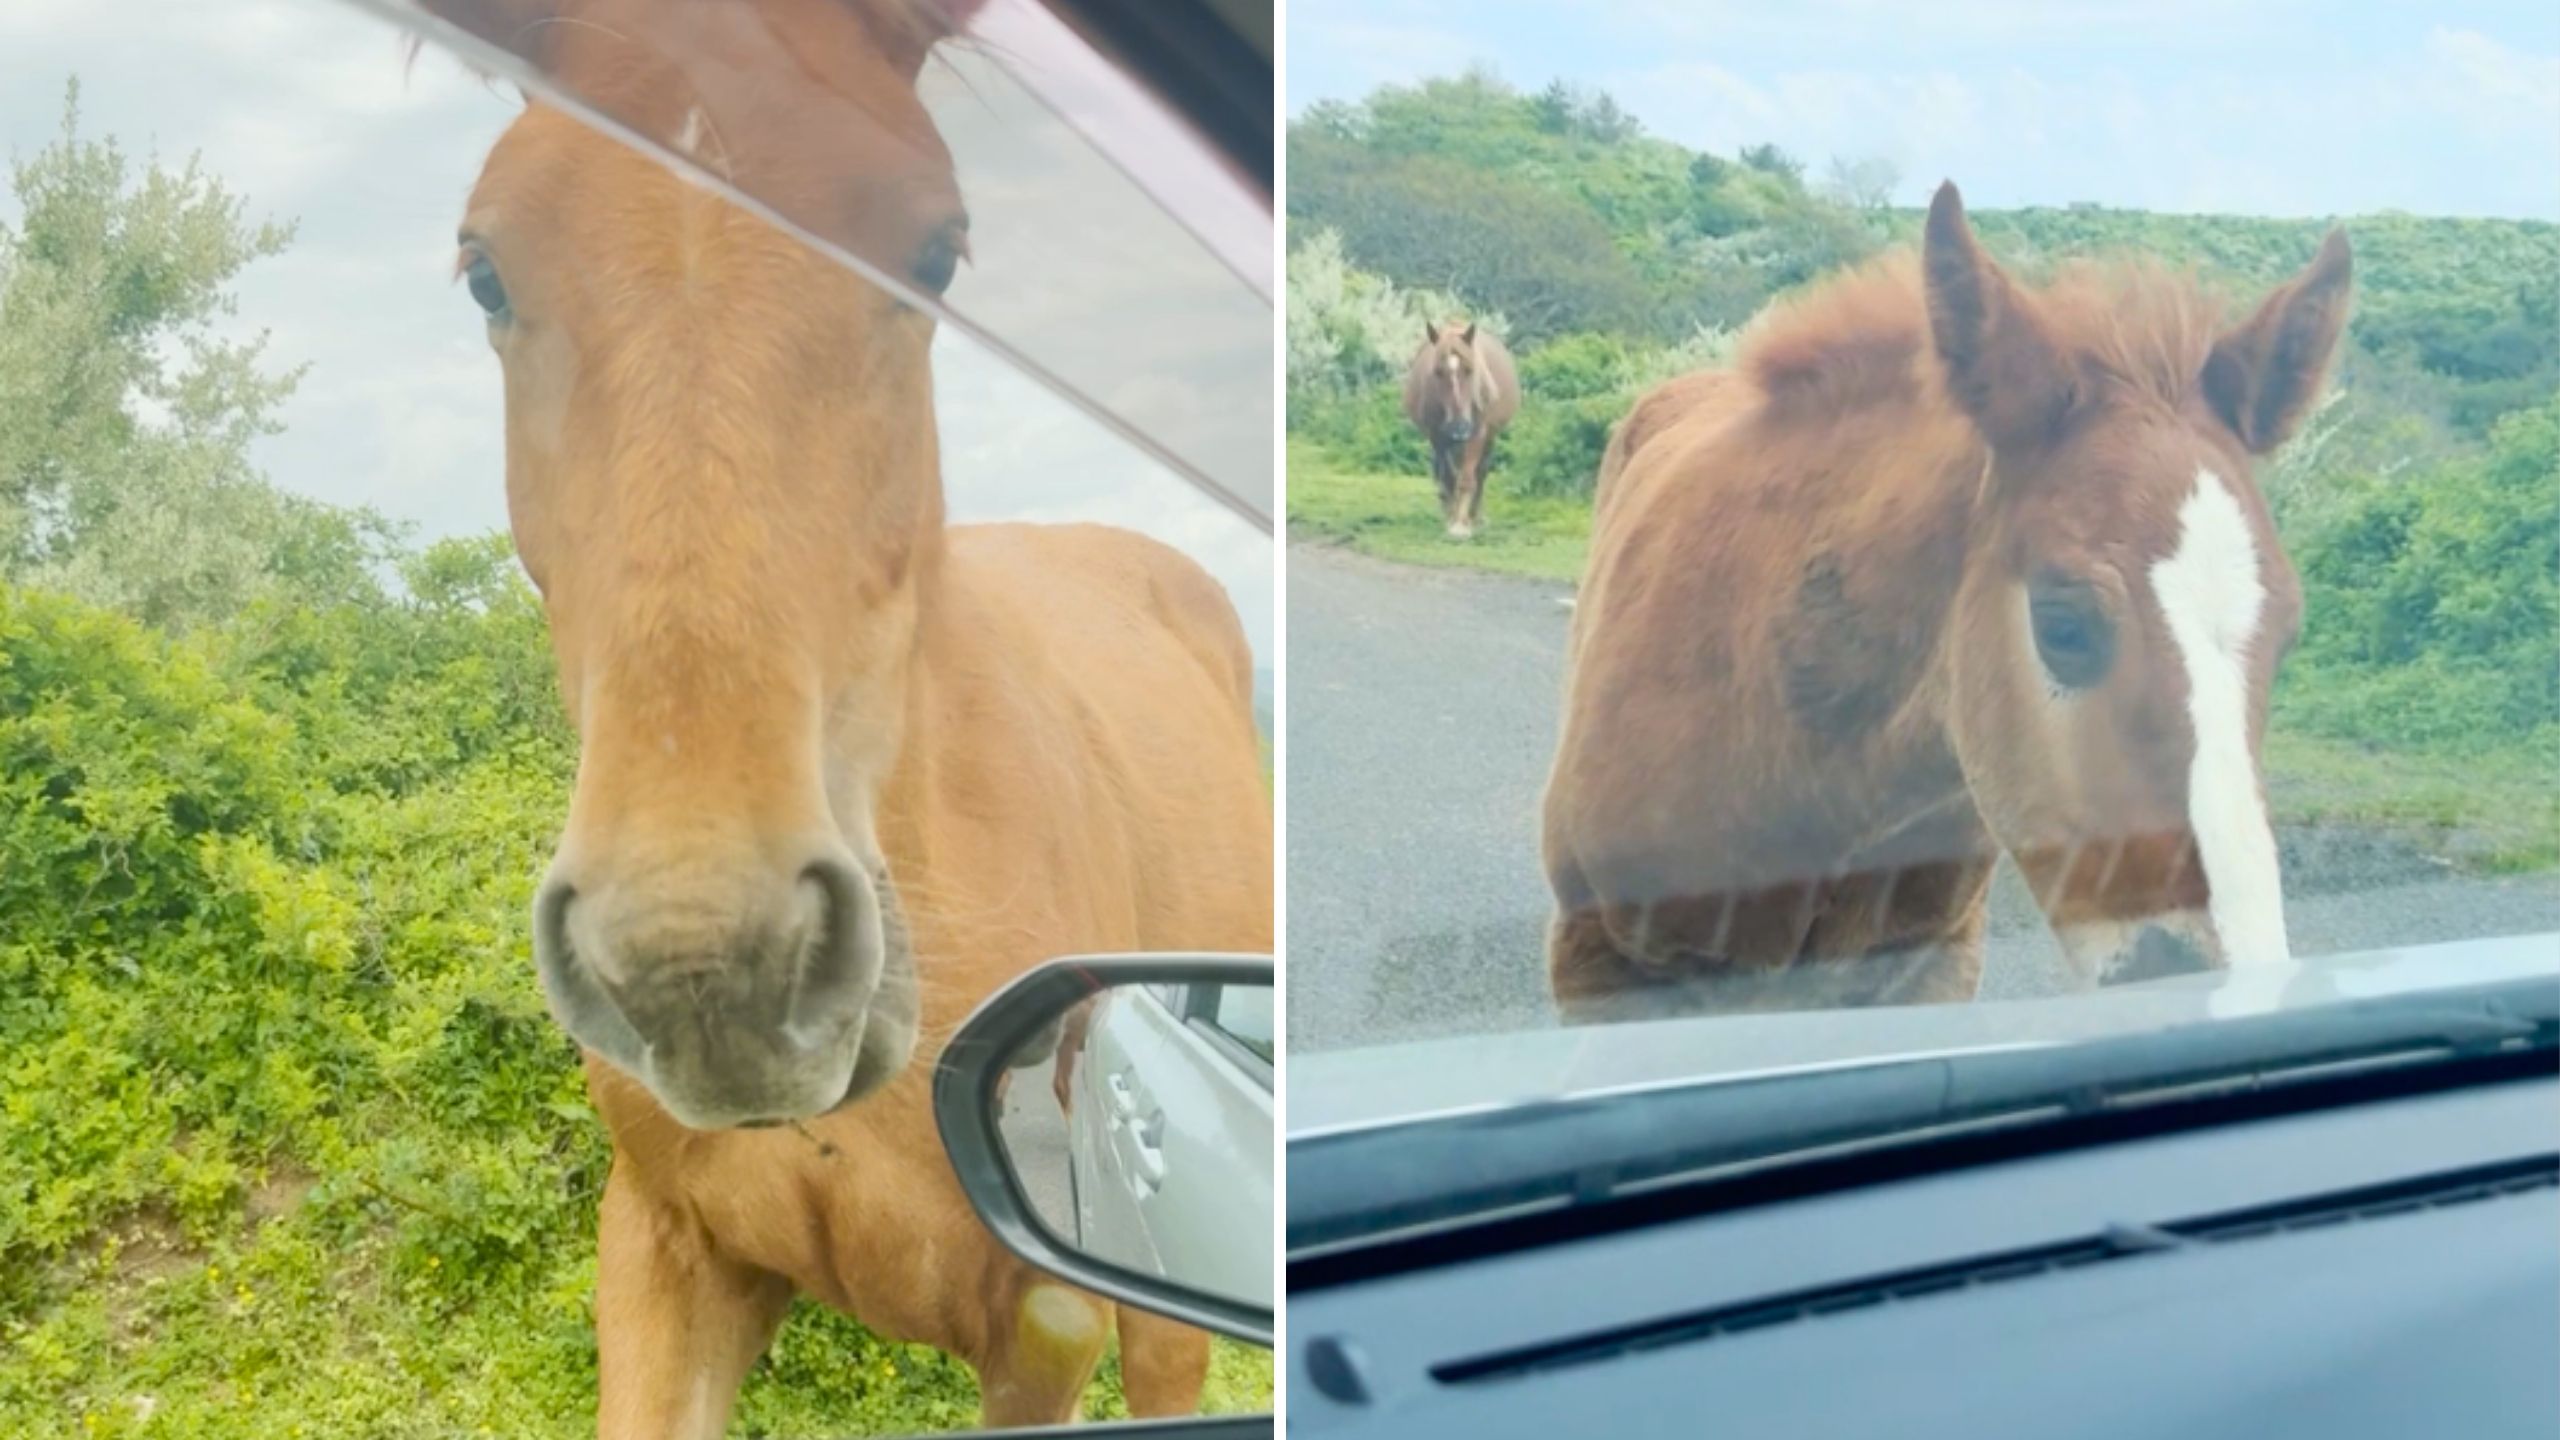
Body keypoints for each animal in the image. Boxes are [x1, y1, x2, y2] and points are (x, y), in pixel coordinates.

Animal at [412, 1, 1272, 1432]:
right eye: (484, 272)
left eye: (937, 251)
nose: (709, 963)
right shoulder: (662, 1257)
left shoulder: (1042, 1328)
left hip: (1159, 1320)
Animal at [1403, 319, 1519, 538]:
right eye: (1438, 371)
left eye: (1469, 370)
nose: (1459, 428)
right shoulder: (1437, 436)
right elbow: (1448, 476)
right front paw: (1452, 518)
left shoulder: (1478, 433)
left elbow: (1467, 478)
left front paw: (1461, 525)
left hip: (1488, 437)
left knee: (1480, 473)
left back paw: (1474, 515)